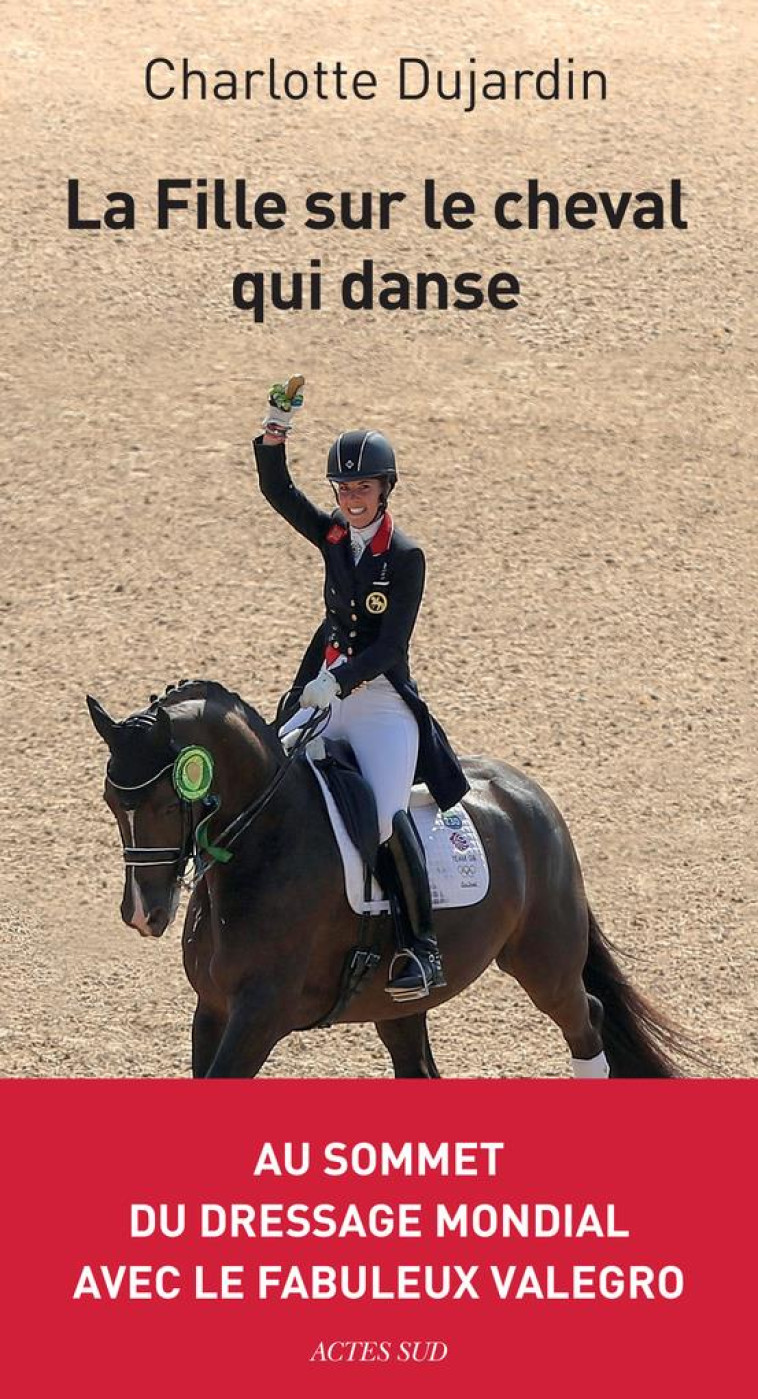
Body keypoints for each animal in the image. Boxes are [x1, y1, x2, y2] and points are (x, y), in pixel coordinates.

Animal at [87, 682, 682, 1074]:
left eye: (168, 803)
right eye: (112, 801)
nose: (142, 913)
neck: (268, 840)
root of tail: (528, 794)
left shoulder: (259, 1016)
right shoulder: (212, 1010)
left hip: (545, 963)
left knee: (587, 1021)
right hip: (398, 1004)